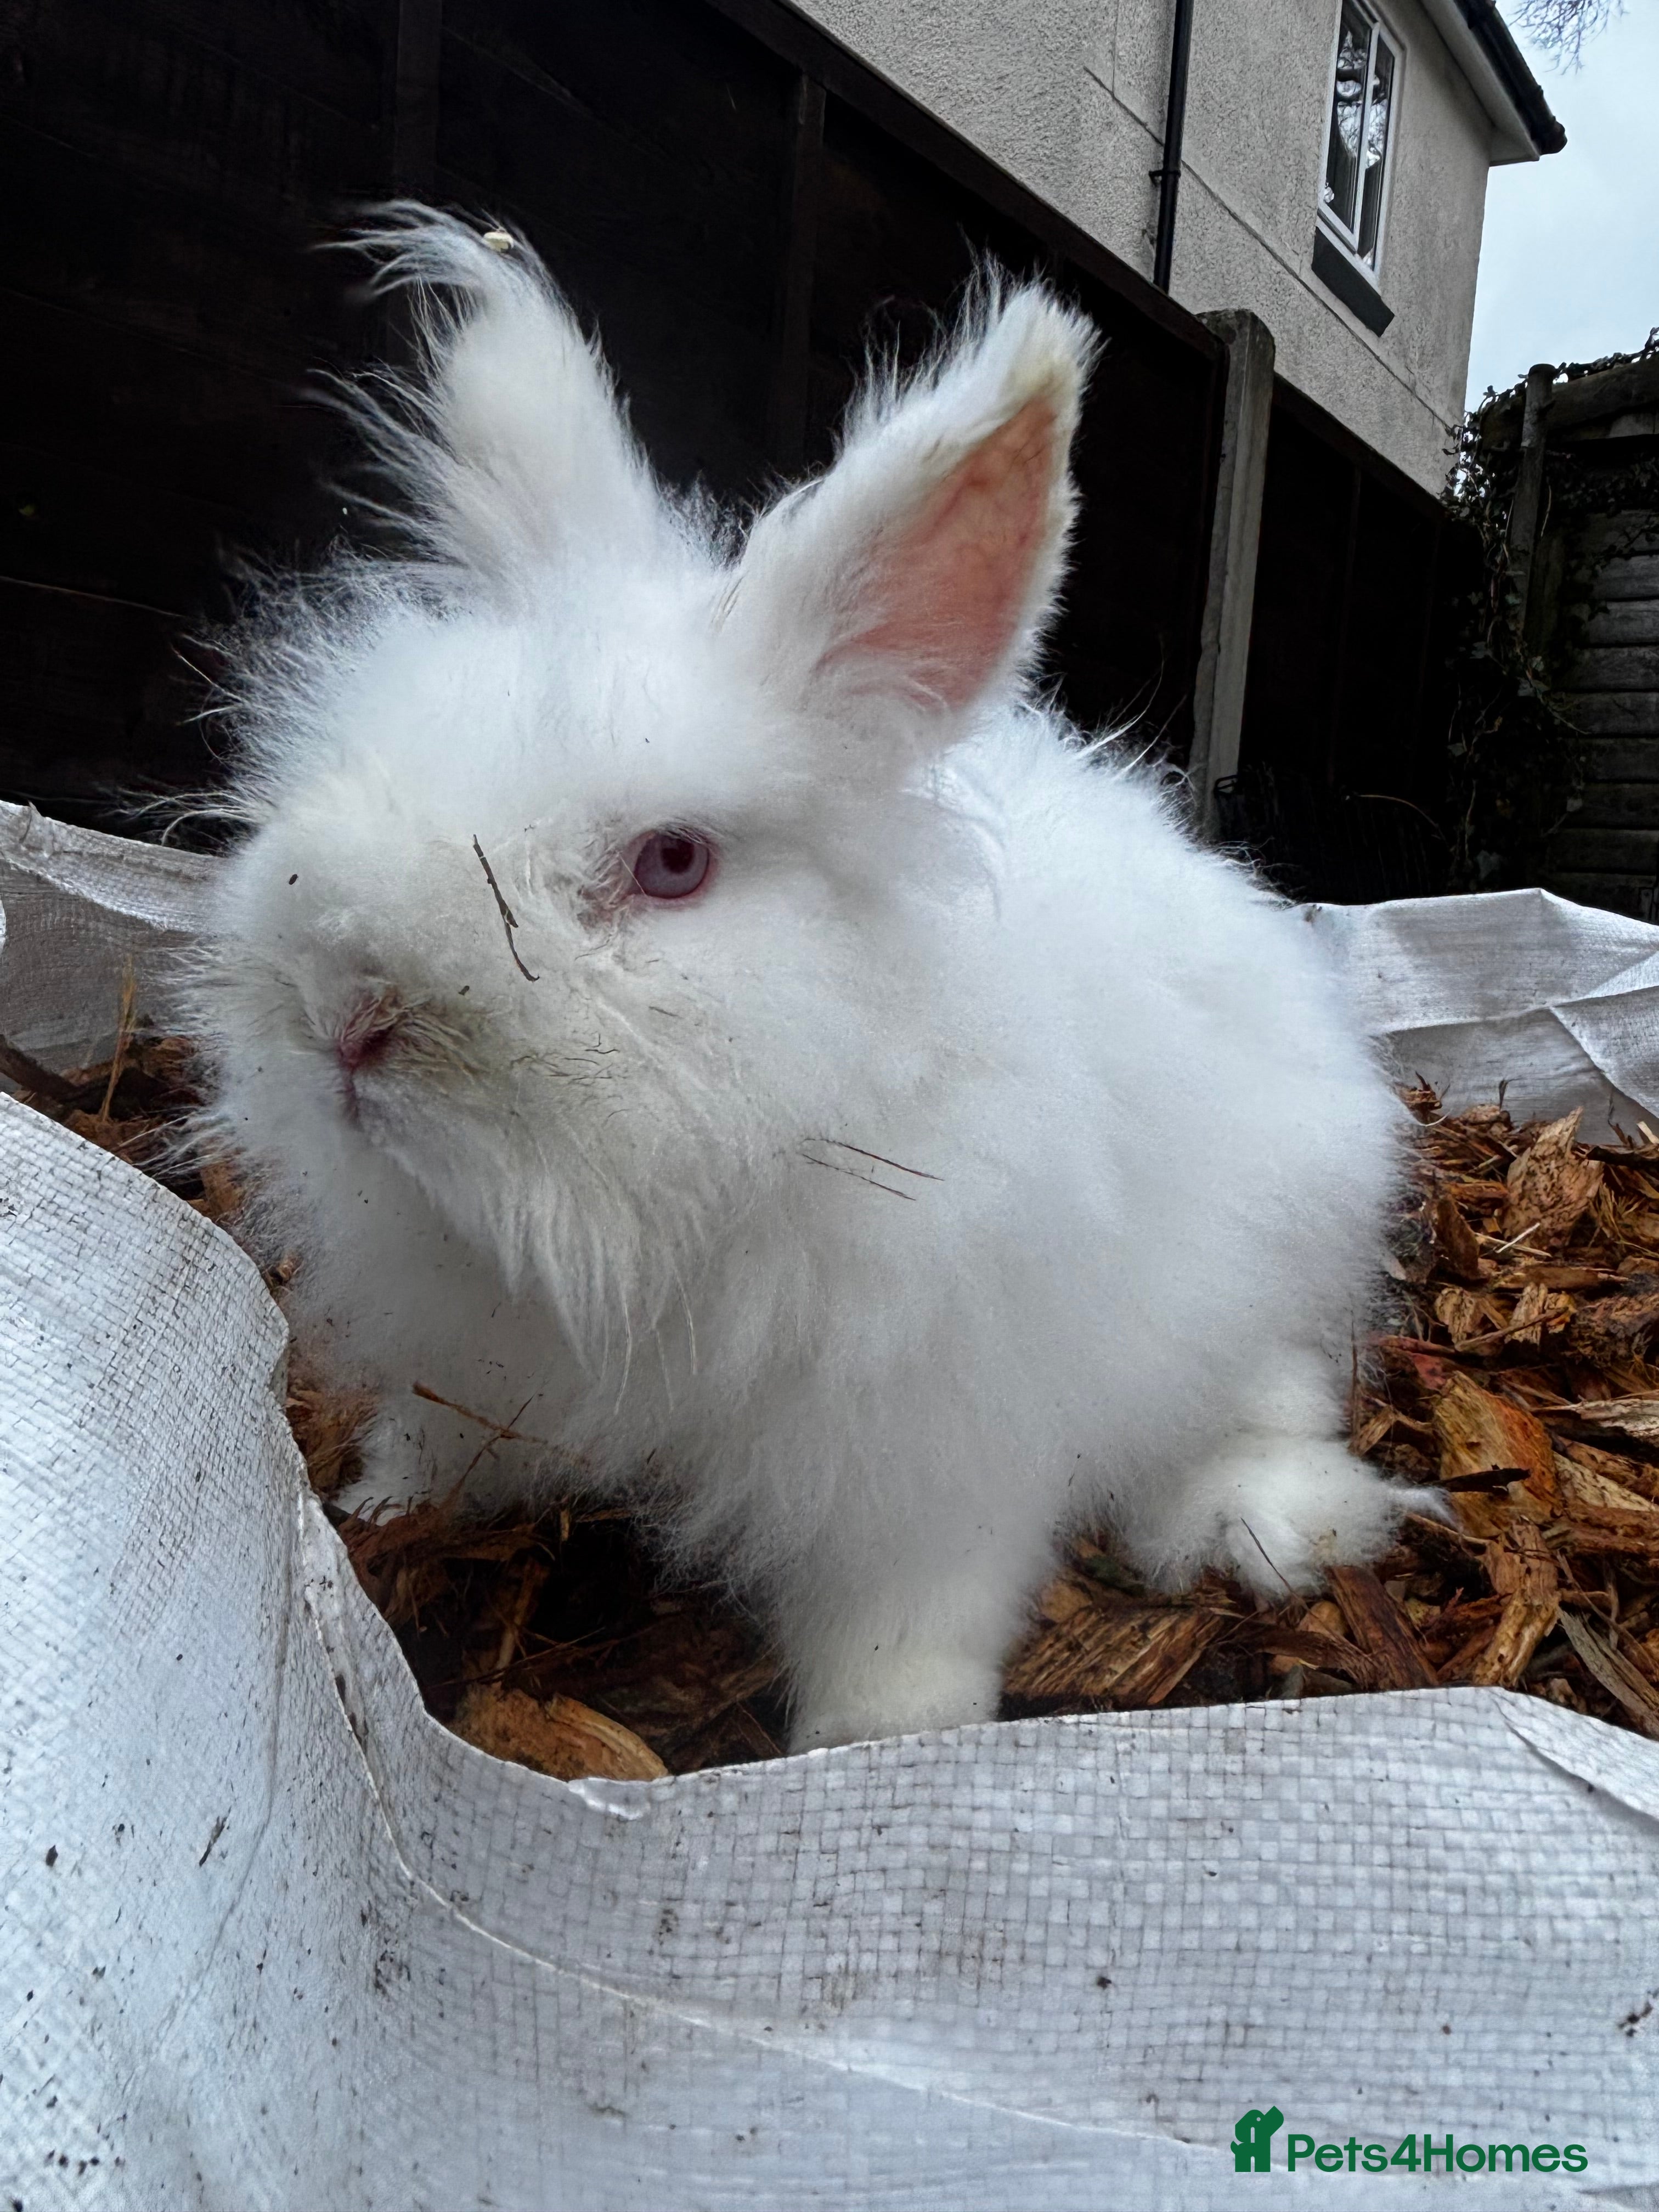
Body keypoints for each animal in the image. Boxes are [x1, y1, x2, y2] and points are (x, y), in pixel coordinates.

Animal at [192, 206, 1436, 1753]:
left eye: (672, 863)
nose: (349, 1021)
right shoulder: (474, 1358)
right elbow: (441, 1438)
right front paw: (375, 1509)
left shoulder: (929, 1445)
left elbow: (911, 1608)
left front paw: (878, 1739)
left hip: (1284, 1244)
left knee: (1272, 1393)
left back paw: (1263, 1527)